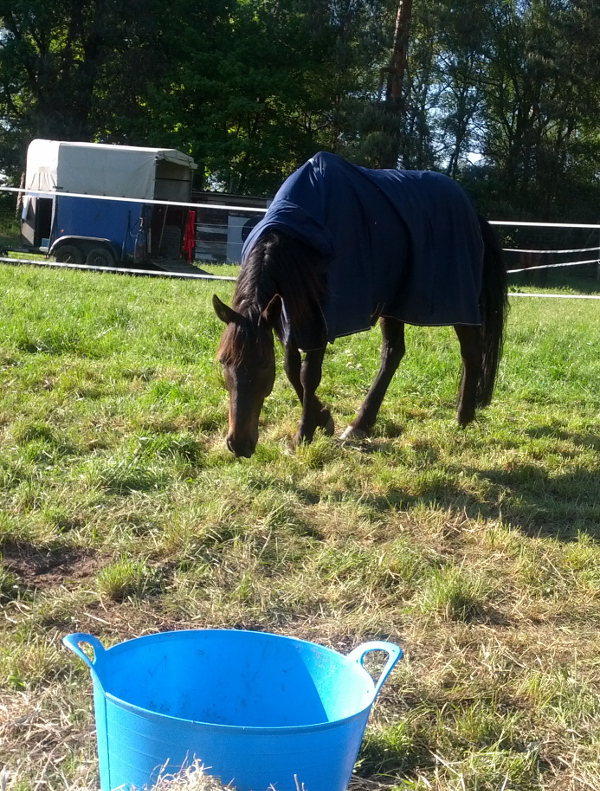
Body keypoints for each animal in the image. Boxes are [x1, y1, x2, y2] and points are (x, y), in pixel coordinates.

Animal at [213, 152, 508, 458]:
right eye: (223, 361)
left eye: (262, 365)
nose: (239, 445)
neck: (299, 236)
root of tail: (473, 214)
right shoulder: (289, 314)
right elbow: (291, 368)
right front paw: (322, 419)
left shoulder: (321, 319)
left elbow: (308, 375)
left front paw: (303, 434)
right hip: (394, 302)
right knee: (392, 354)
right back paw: (361, 423)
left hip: (459, 302)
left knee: (471, 353)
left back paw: (463, 417)